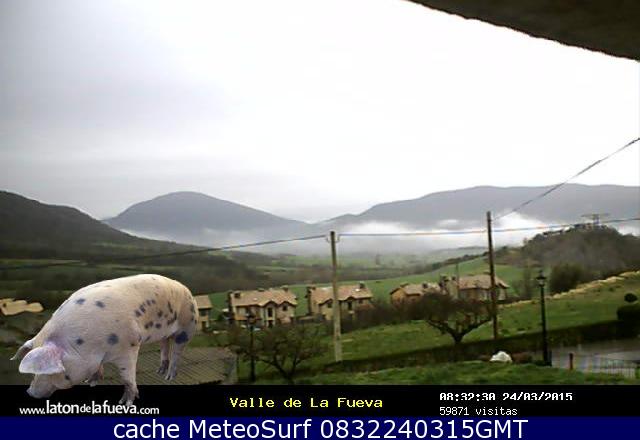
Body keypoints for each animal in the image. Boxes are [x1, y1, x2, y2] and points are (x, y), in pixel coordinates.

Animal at [11, 274, 198, 405]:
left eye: (49, 371)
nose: (30, 392)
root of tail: (187, 289)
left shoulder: (129, 345)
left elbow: (127, 376)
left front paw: (125, 403)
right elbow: (97, 368)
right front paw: (90, 382)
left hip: (187, 325)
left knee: (177, 351)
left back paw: (168, 377)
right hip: (163, 333)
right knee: (165, 345)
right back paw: (159, 371)